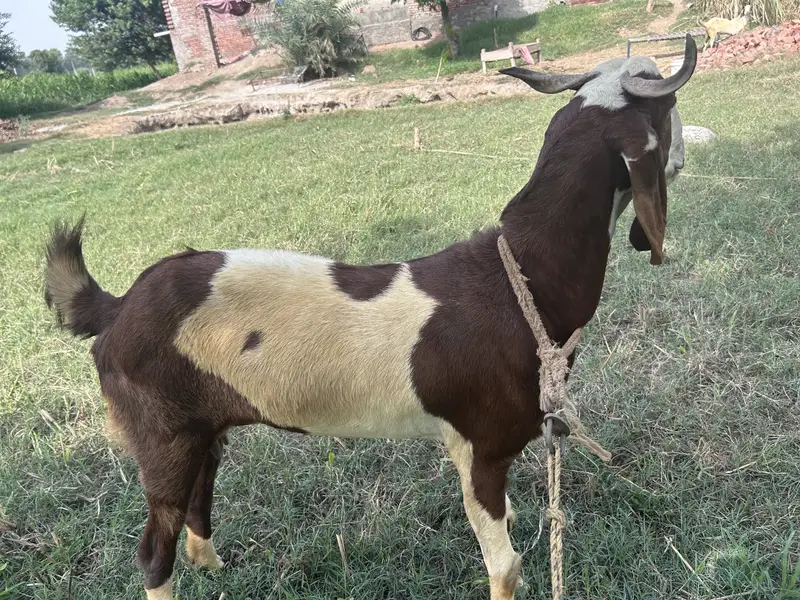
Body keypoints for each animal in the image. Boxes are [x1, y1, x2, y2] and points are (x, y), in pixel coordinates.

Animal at [43, 36, 697, 600]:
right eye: (669, 110)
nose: (686, 156)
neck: (522, 277)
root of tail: (117, 307)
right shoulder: (480, 447)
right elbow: (505, 564)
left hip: (202, 428)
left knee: (197, 506)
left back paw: (216, 567)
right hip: (161, 436)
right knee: (155, 546)